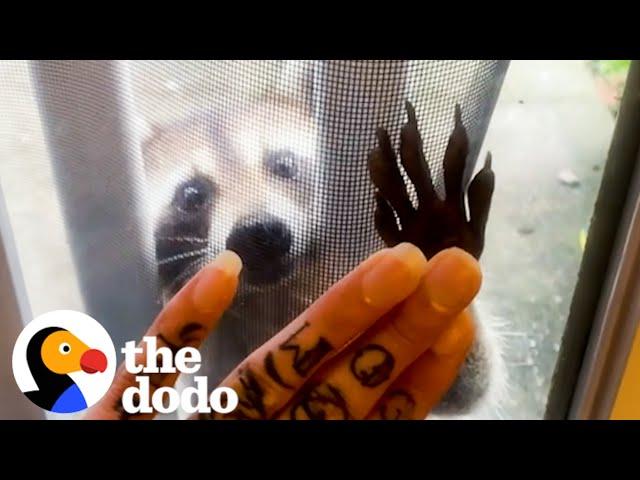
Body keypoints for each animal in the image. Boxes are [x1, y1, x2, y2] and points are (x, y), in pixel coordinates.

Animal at [140, 93, 504, 416]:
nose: (259, 232)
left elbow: (465, 388)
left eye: (283, 164)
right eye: (191, 194)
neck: (270, 294)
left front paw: (435, 243)